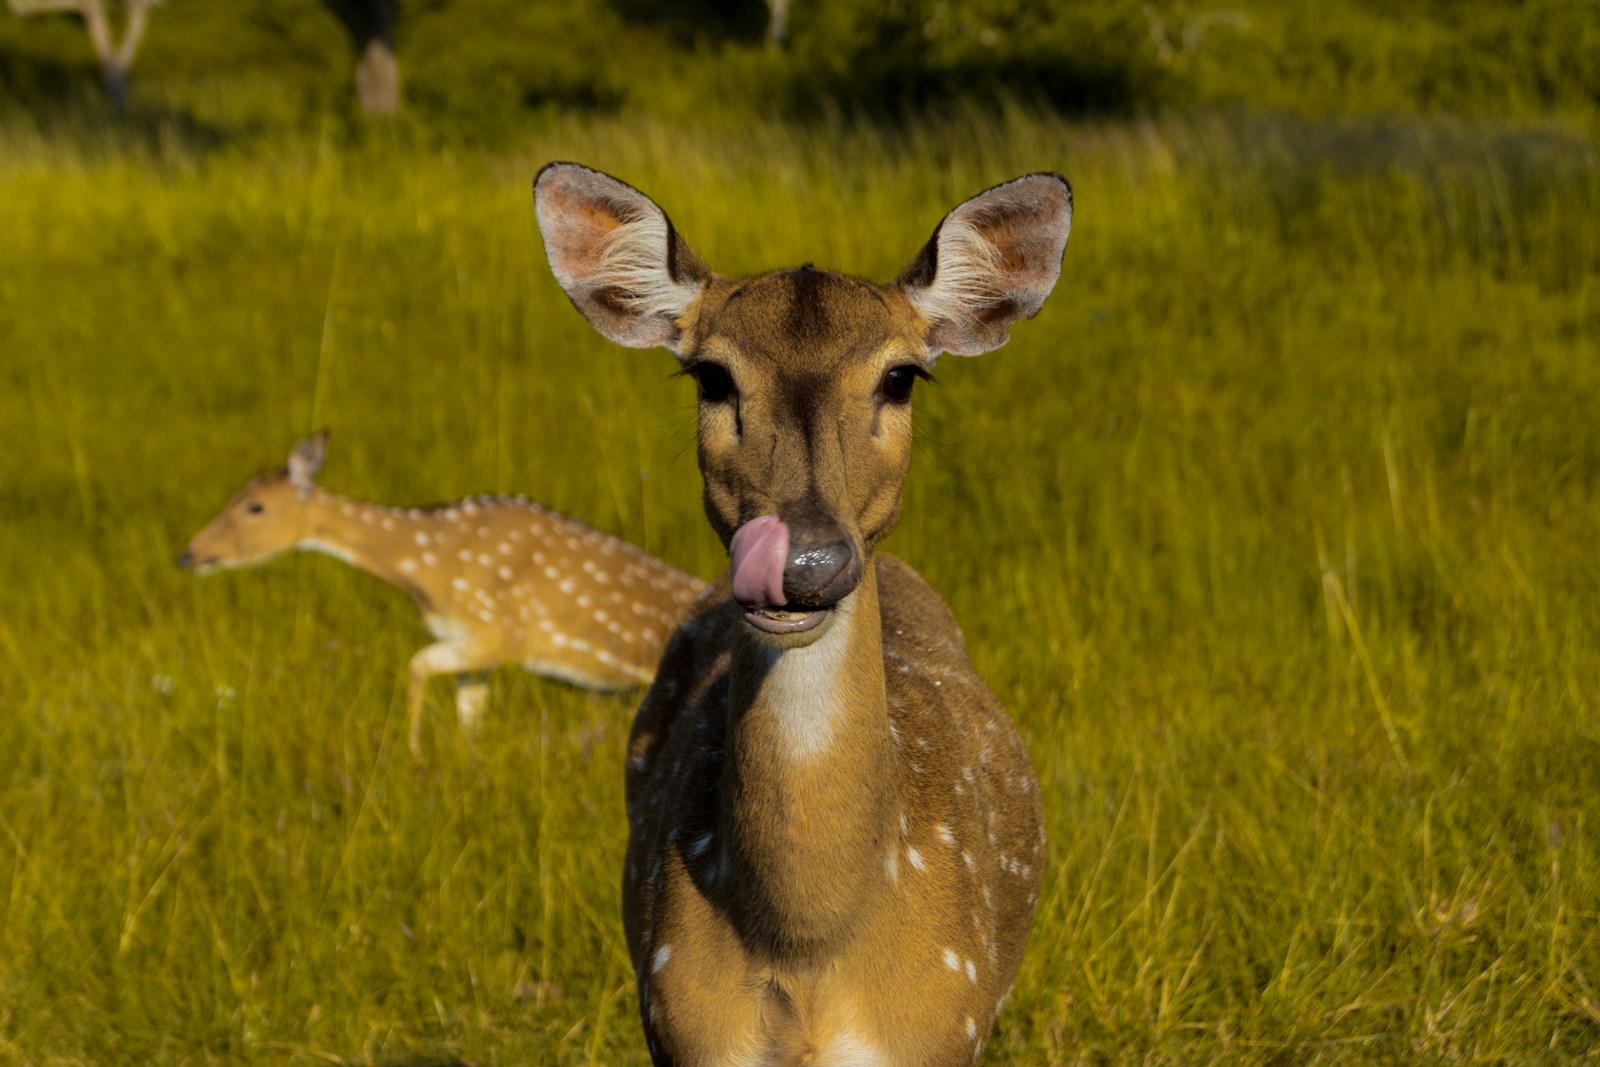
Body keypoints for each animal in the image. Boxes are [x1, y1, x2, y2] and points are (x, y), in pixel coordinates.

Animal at [177, 432, 707, 757]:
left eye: (254, 507)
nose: (187, 554)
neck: (429, 568)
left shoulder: (502, 634)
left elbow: (415, 666)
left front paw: (410, 753)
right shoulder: (474, 648)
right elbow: (468, 716)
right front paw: (464, 765)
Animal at [533, 162, 1070, 1065]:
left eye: (901, 375)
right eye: (711, 375)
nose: (805, 561)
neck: (810, 942)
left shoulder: (949, 1021)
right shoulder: (677, 1022)